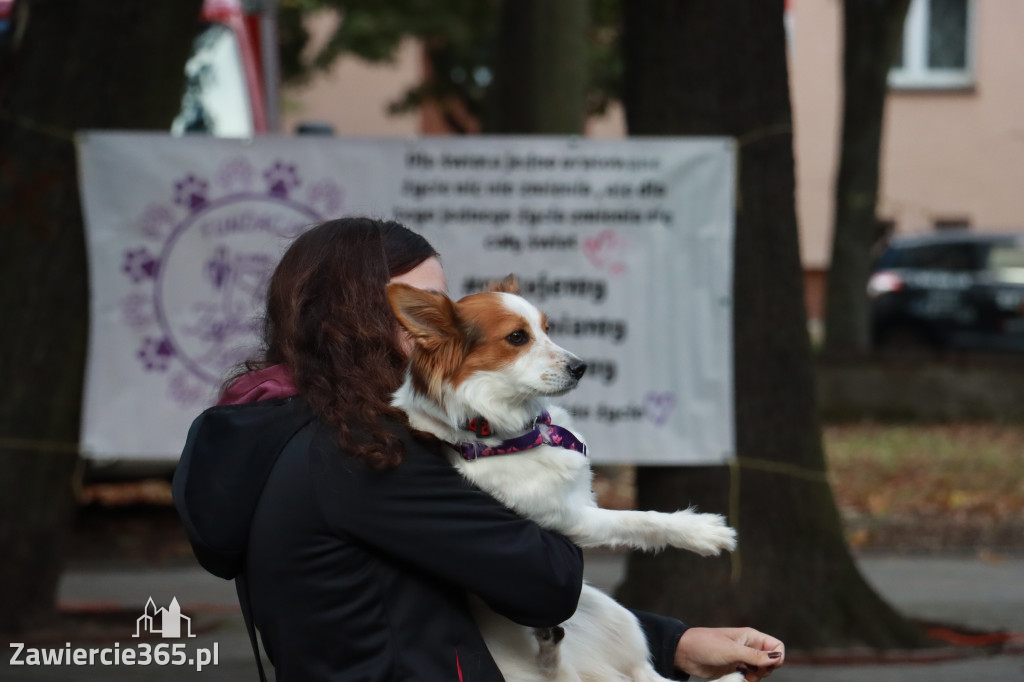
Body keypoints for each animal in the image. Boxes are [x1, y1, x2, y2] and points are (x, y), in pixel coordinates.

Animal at [387, 276, 741, 679]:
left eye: (546, 328)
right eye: (517, 337)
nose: (581, 367)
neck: (503, 434)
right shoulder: (569, 518)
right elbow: (639, 519)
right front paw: (701, 531)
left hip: (609, 610)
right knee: (551, 672)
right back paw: (549, 647)